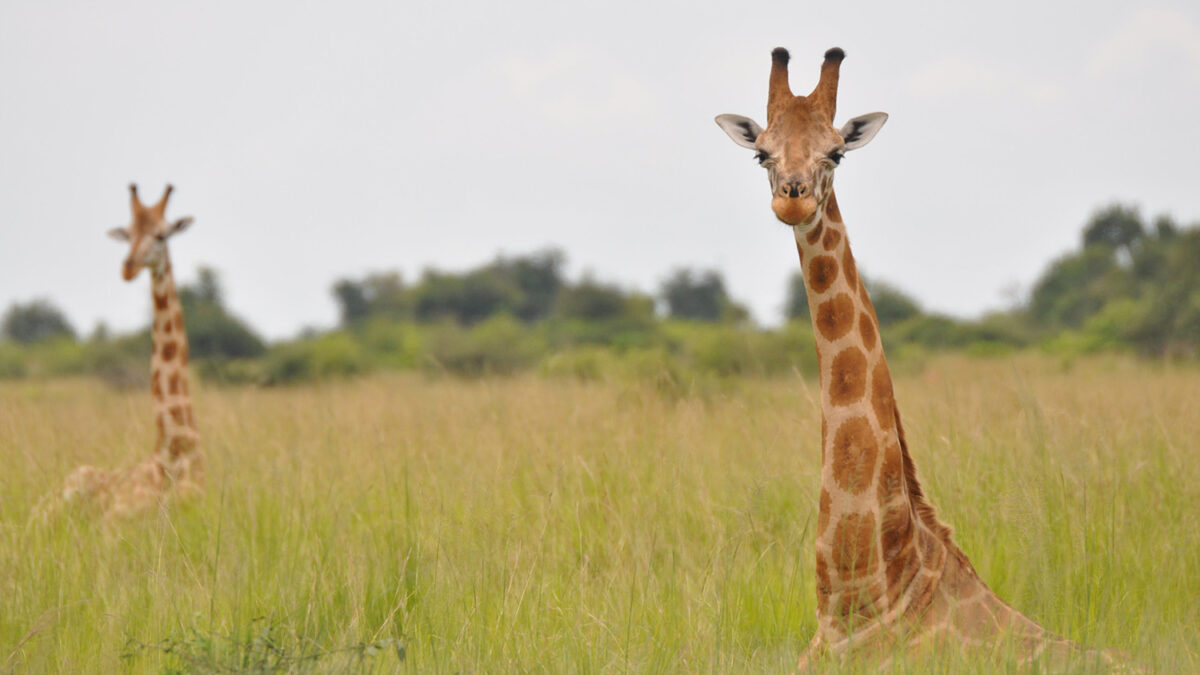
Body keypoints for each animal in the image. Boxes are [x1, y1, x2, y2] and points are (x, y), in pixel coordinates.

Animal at [44, 183, 201, 521]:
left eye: (162, 234)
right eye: (128, 234)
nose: (128, 268)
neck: (176, 449)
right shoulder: (114, 521)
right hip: (60, 495)